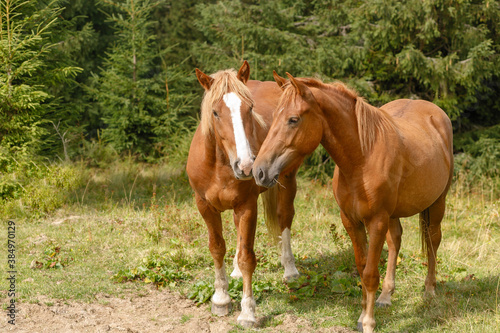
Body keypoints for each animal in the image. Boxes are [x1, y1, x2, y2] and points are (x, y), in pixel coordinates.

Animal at [186, 61, 298, 326]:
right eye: (215, 112)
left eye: (250, 108)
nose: (246, 166)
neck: (218, 165)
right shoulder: (204, 205)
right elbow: (217, 247)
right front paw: (221, 299)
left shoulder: (247, 205)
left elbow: (248, 257)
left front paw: (248, 312)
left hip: (287, 181)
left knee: (285, 218)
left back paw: (290, 270)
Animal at [254, 72, 454, 332]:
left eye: (293, 119)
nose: (259, 171)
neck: (362, 159)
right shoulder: (351, 221)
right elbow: (362, 267)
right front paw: (363, 314)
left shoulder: (376, 221)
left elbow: (369, 273)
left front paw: (368, 322)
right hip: (393, 215)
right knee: (396, 241)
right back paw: (386, 296)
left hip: (438, 202)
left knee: (432, 239)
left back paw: (429, 290)